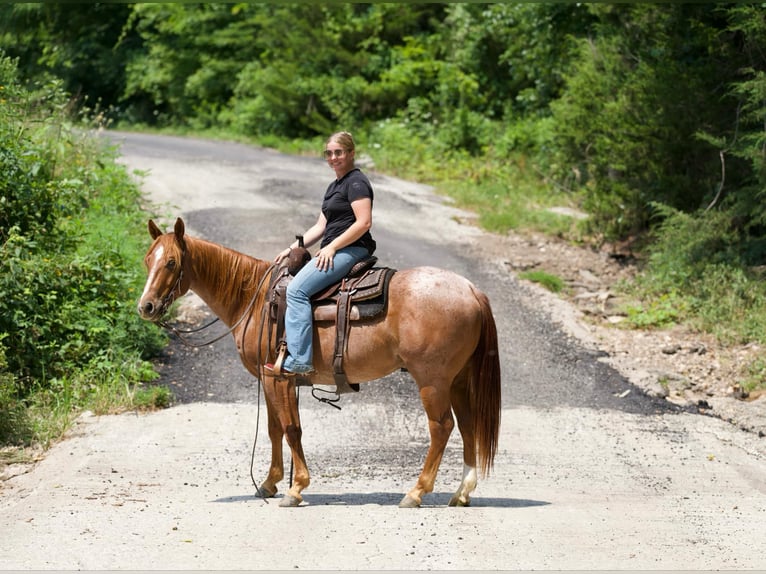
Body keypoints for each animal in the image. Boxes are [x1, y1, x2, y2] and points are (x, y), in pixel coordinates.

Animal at [139, 217, 504, 508]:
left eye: (170, 263)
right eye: (147, 260)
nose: (146, 307)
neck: (254, 300)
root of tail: (471, 290)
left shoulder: (279, 378)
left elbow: (291, 429)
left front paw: (296, 488)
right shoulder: (269, 378)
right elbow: (274, 430)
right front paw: (270, 483)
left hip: (432, 380)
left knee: (441, 427)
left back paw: (416, 493)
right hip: (457, 379)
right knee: (468, 424)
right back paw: (461, 492)